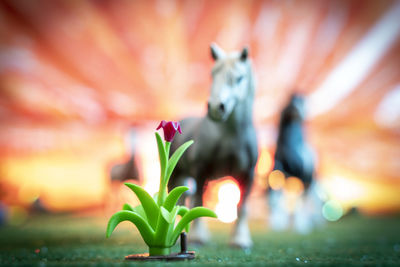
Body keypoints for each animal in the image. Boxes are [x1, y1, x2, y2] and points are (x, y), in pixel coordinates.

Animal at [167, 43, 258, 249]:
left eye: (239, 78)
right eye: (212, 74)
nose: (216, 108)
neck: (229, 137)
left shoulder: (247, 175)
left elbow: (242, 206)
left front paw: (240, 240)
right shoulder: (201, 171)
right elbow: (198, 202)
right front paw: (198, 238)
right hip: (178, 175)